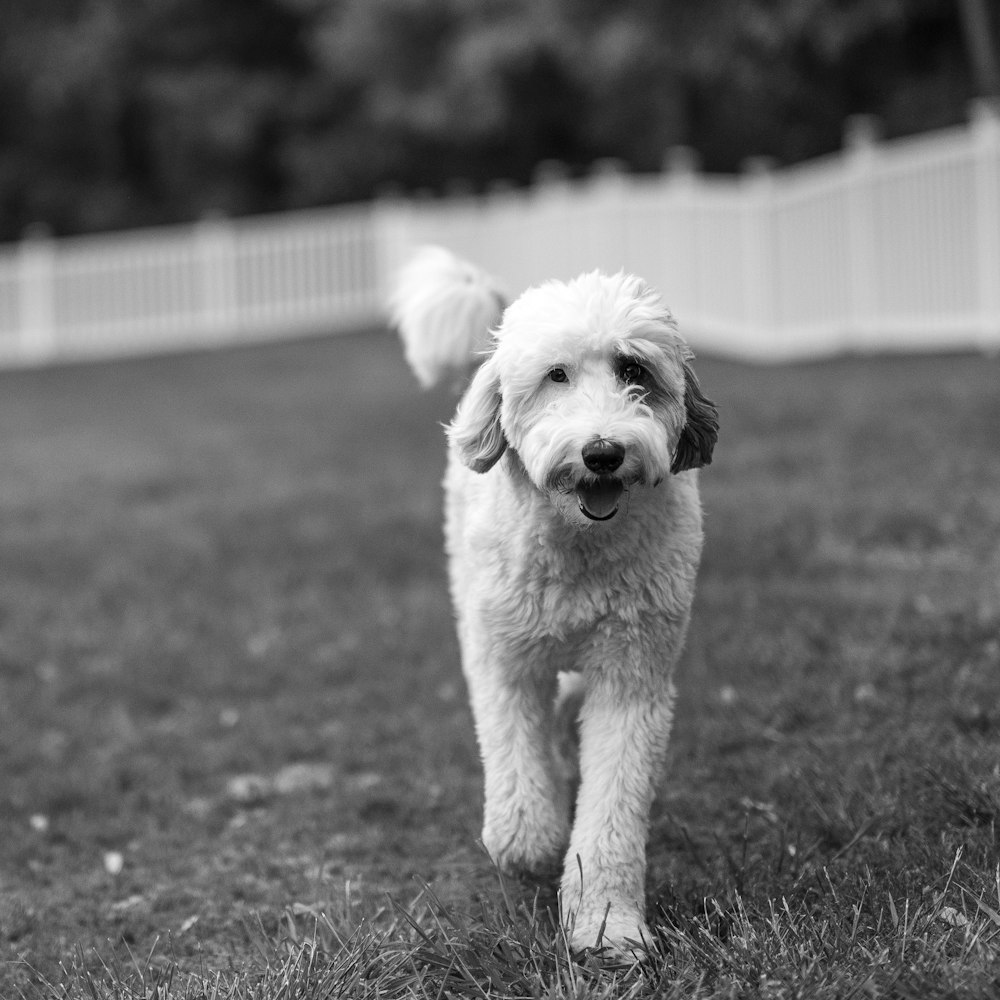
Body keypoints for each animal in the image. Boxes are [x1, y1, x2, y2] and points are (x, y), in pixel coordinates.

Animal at [390, 246, 720, 956]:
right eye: (556, 375)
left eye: (633, 369)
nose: (602, 453)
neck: (579, 548)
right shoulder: (504, 661)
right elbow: (517, 761)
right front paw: (529, 847)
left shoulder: (633, 677)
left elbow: (613, 808)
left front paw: (606, 924)